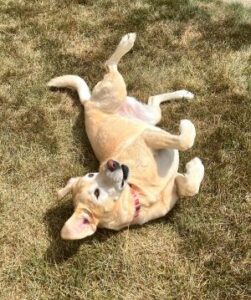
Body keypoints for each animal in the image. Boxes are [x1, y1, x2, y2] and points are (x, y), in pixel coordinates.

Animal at [47, 32, 204, 239]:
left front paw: (194, 167)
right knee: (110, 65)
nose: (112, 163)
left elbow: (189, 186)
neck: (140, 196)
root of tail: (87, 103)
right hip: (120, 93)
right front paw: (194, 155)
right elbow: (185, 142)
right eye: (96, 193)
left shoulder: (149, 139)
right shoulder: (150, 140)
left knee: (147, 93)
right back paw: (128, 42)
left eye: (91, 173)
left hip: (146, 113)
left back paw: (183, 93)